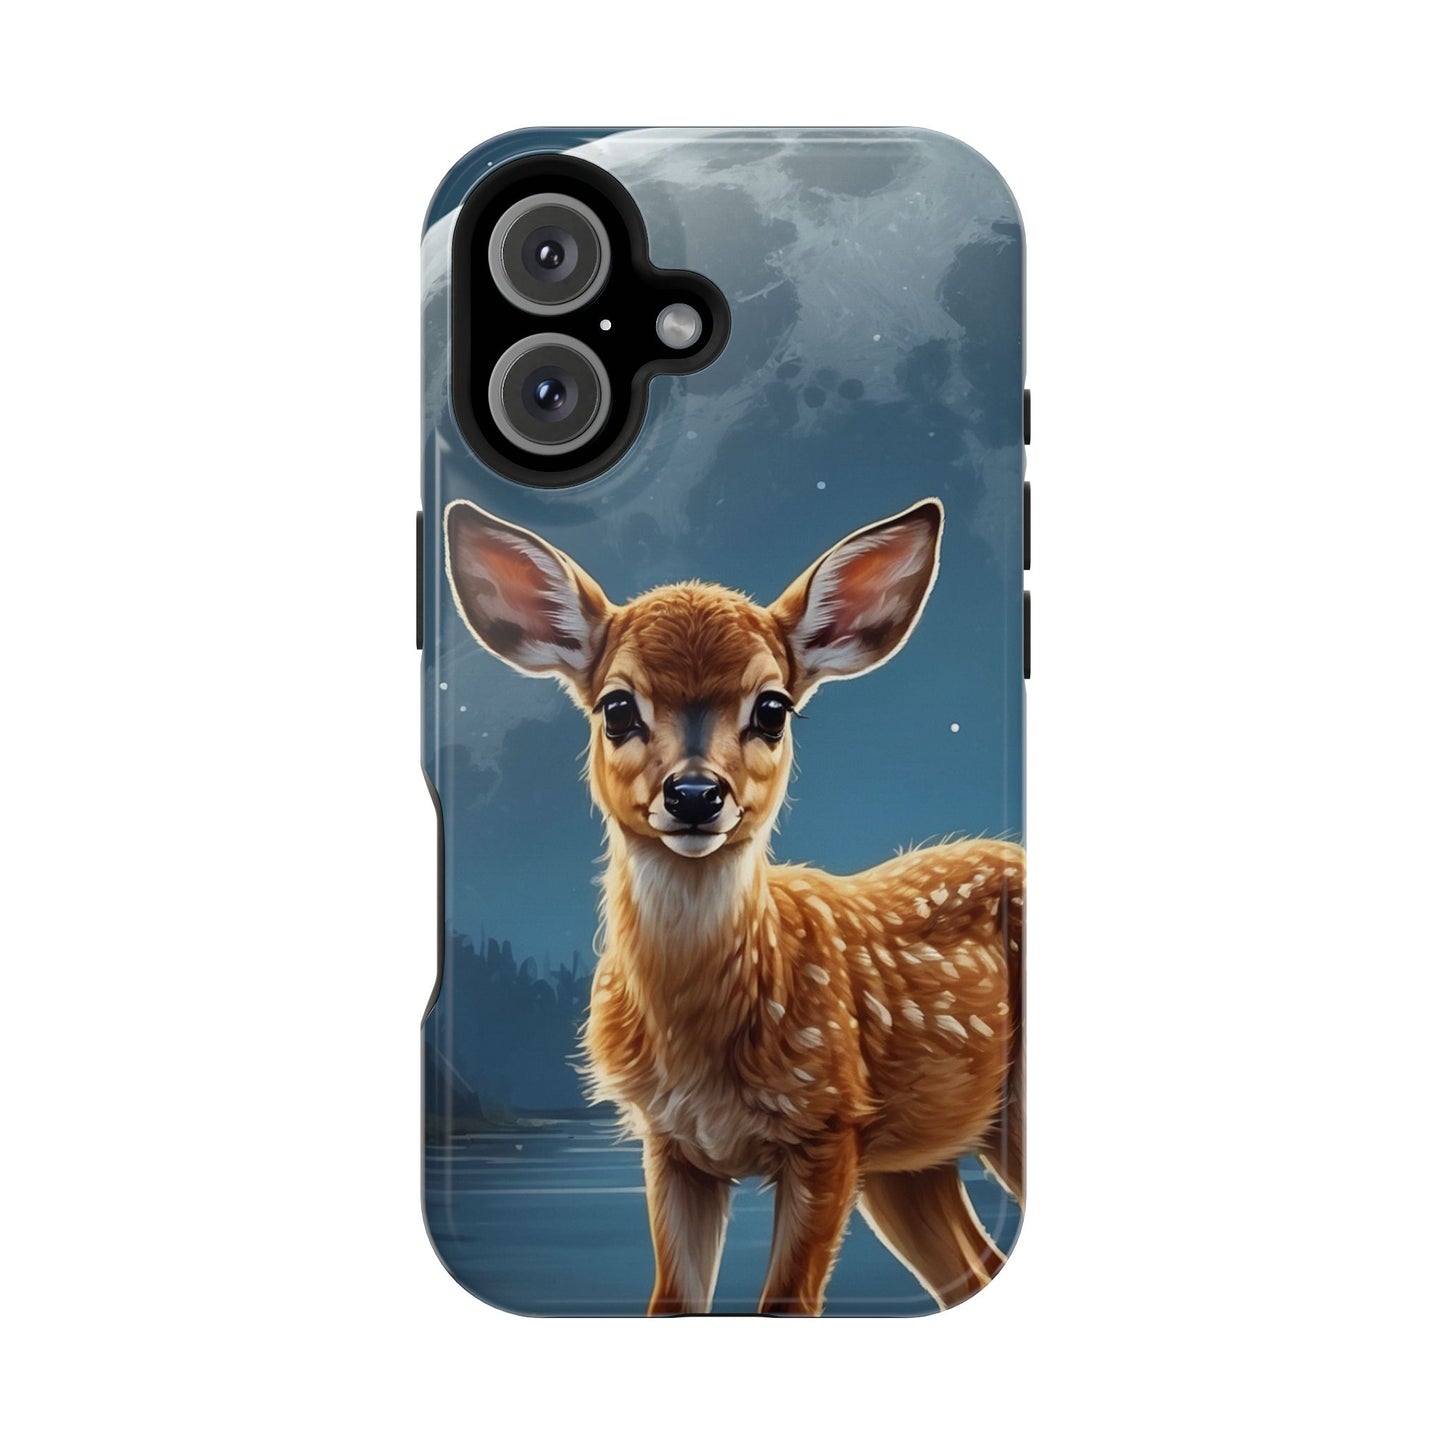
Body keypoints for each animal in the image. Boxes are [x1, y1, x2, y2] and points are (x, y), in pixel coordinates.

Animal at [444, 496, 1024, 1315]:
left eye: (772, 708)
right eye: (616, 707)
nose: (694, 794)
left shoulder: (828, 1126)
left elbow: (785, 1303)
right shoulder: (671, 1143)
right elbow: (672, 1300)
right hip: (910, 1162)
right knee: (974, 1270)